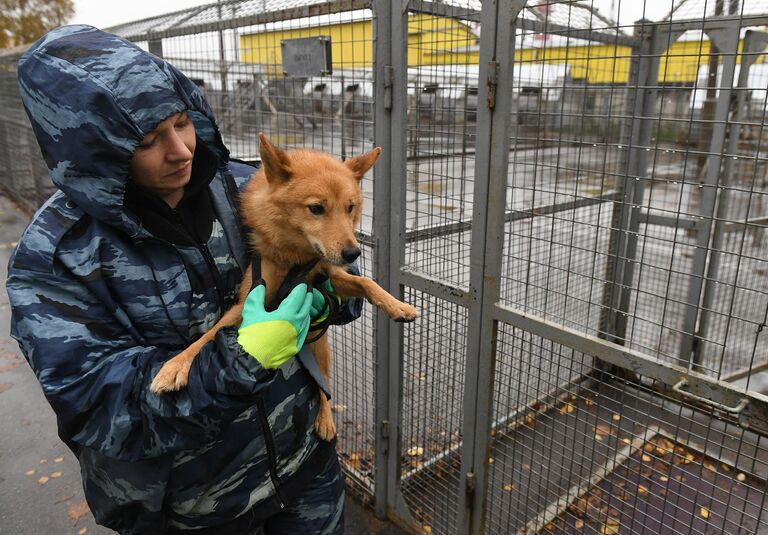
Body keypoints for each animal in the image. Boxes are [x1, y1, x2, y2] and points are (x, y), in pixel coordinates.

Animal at [152, 133, 420, 440]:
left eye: (350, 207)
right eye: (316, 208)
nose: (353, 254)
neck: (296, 259)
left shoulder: (327, 276)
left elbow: (366, 282)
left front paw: (397, 305)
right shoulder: (247, 302)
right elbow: (209, 335)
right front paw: (174, 367)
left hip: (320, 350)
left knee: (324, 385)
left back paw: (325, 419)